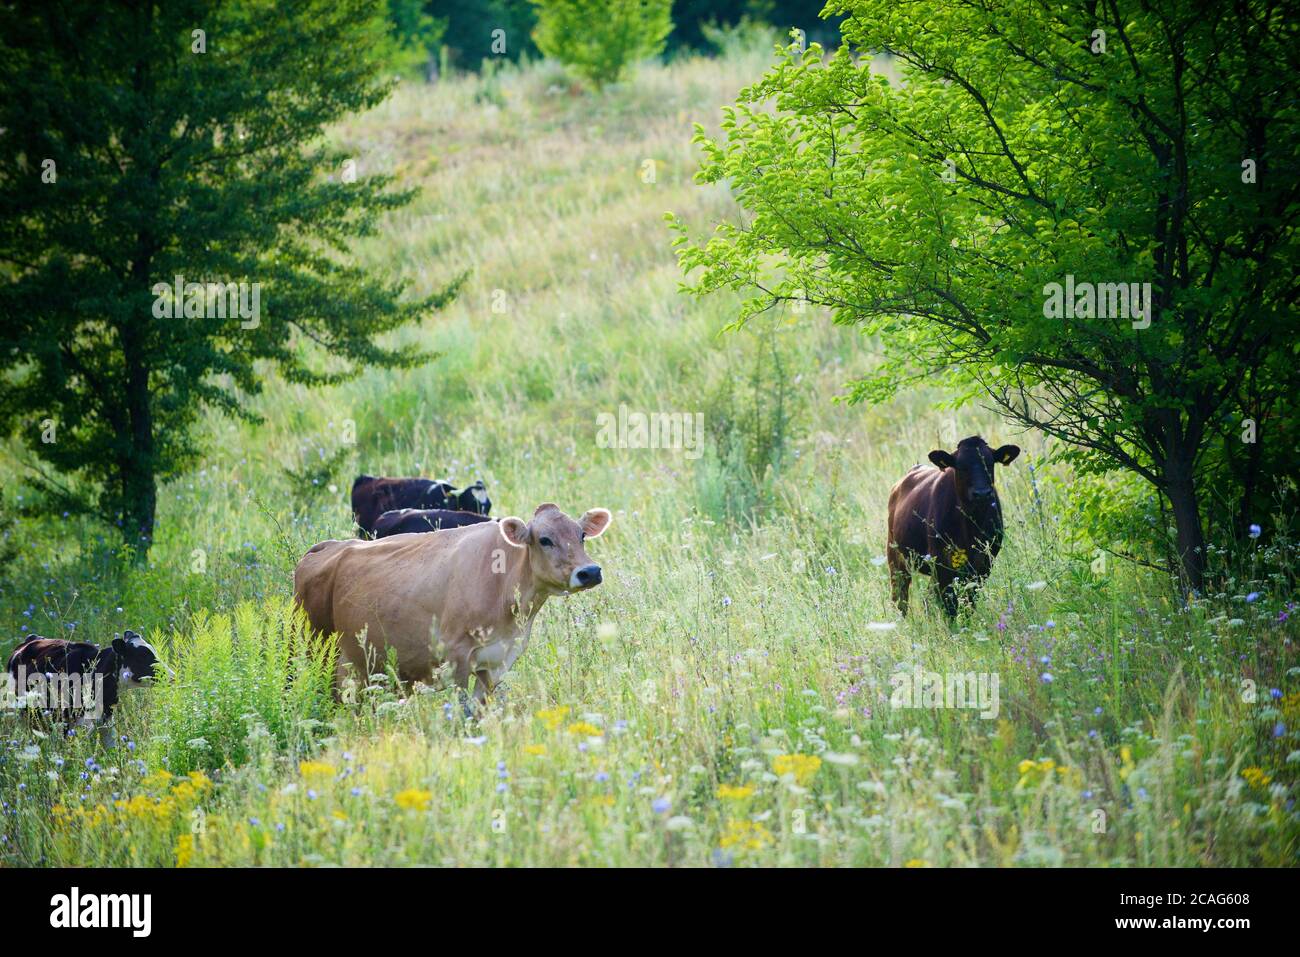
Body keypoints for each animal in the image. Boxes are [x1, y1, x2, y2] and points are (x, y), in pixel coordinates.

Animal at [294, 503, 610, 710]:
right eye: (544, 540)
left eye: (581, 535)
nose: (589, 571)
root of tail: (325, 547)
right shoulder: (455, 657)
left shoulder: (498, 661)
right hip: (322, 654)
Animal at [886, 436, 1020, 618]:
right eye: (961, 466)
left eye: (990, 463)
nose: (982, 493)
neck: (970, 528)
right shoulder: (942, 564)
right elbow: (949, 605)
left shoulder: (984, 564)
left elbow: (968, 602)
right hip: (895, 557)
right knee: (900, 597)